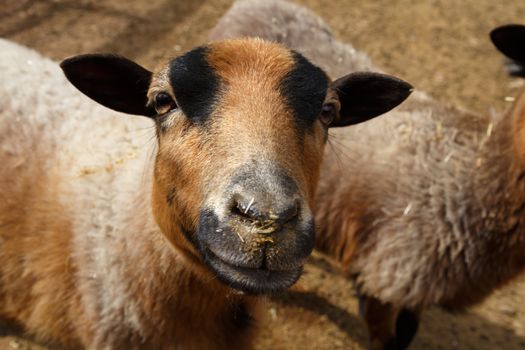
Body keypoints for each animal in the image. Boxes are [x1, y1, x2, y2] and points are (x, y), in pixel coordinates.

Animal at [209, 1, 524, 348]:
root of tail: (249, 5)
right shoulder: (388, 276)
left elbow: (408, 330)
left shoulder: (413, 284)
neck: (474, 172)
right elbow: (389, 340)